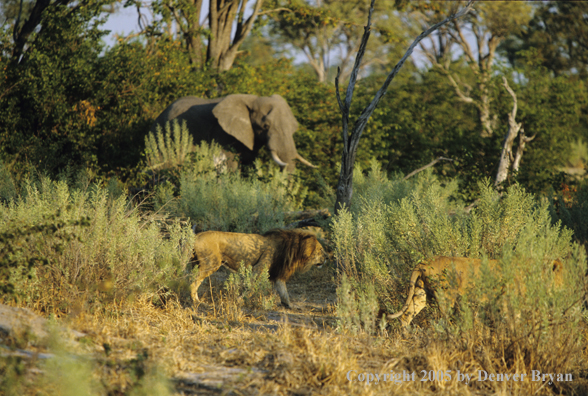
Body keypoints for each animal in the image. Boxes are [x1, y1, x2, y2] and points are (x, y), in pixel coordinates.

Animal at [189, 229, 324, 310]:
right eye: (321, 250)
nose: (326, 258)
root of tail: (196, 236)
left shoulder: (278, 275)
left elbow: (284, 292)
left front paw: (290, 306)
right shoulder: (259, 268)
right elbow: (250, 287)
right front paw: (239, 300)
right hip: (211, 263)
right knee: (193, 283)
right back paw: (196, 301)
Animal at [388, 256, 564, 328]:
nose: (564, 291)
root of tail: (424, 262)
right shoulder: (507, 301)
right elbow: (513, 322)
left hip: (421, 293)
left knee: (406, 315)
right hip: (446, 296)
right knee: (444, 320)